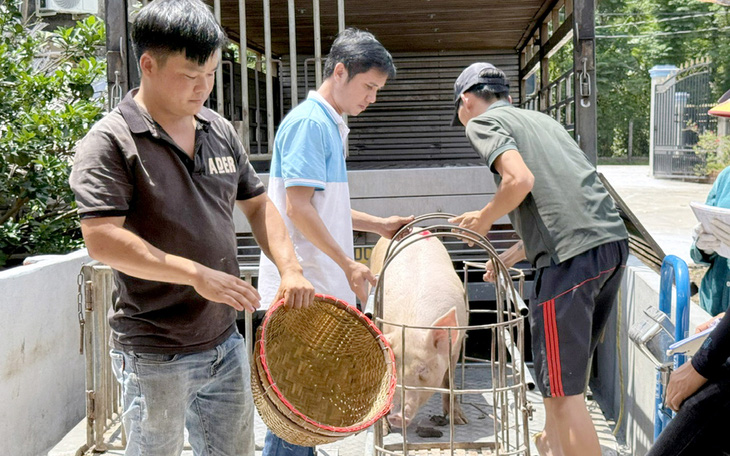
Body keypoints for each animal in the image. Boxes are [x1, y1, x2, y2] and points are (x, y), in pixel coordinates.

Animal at [370, 230, 466, 430]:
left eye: (423, 369)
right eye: (393, 370)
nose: (397, 416)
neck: (410, 324)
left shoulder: (457, 344)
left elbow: (449, 380)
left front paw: (460, 421)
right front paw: (384, 430)